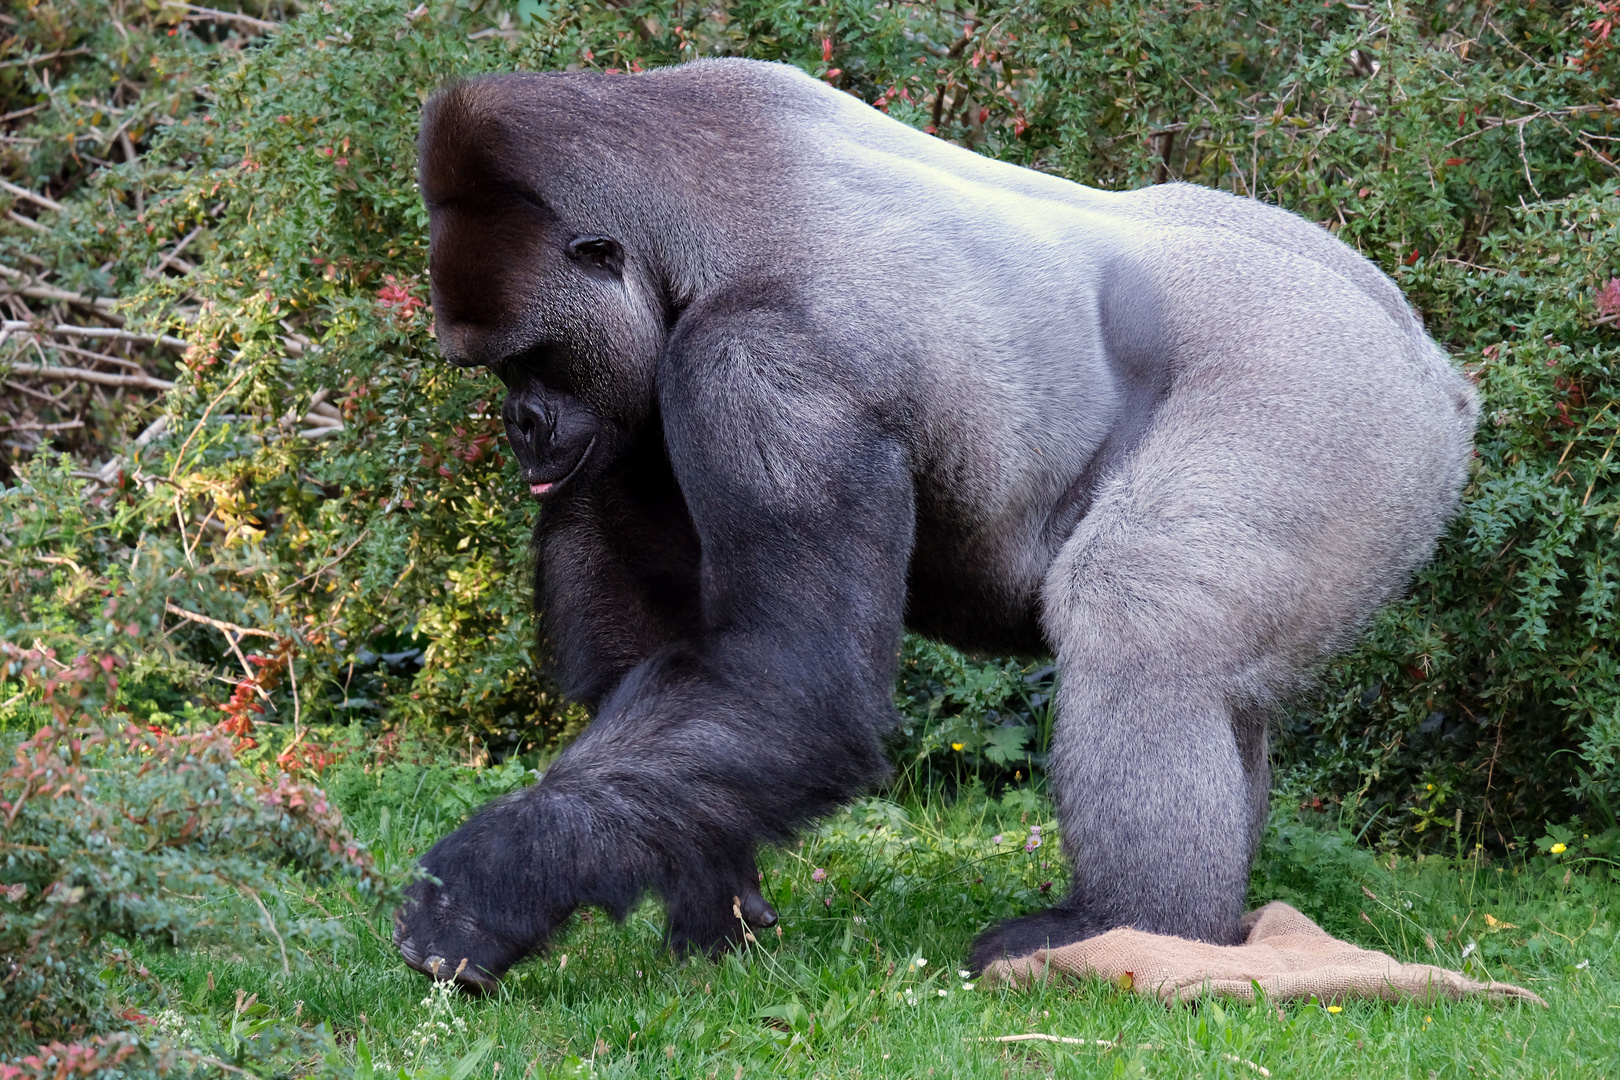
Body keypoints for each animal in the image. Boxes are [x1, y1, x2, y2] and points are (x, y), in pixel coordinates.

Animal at [395, 57, 1483, 990]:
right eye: (497, 372)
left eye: (530, 359)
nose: (522, 426)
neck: (682, 212)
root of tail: (1436, 367)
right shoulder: (631, 415)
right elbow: (675, 685)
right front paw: (717, 907)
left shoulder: (763, 367)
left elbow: (789, 681)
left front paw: (492, 883)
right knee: (1221, 679)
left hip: (1334, 393)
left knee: (1141, 613)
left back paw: (1136, 925)